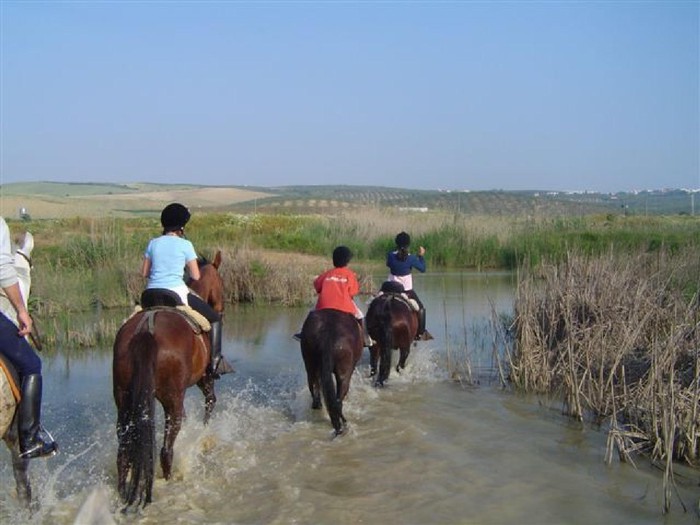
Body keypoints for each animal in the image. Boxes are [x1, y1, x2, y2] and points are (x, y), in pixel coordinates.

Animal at [113, 250, 224, 508]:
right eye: (222, 283)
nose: (222, 307)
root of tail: (147, 331)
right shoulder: (204, 378)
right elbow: (210, 401)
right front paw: (204, 430)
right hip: (171, 397)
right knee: (165, 450)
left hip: (124, 399)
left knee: (123, 452)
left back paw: (123, 492)